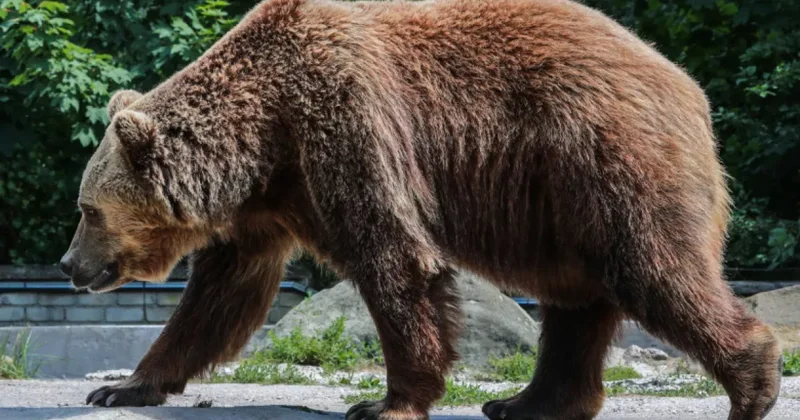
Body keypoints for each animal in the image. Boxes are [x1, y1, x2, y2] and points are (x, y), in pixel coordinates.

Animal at [58, 0, 782, 418]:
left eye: (87, 210)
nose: (68, 265)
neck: (262, 138)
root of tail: (688, 88)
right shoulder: (268, 202)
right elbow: (218, 298)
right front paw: (124, 385)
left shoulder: (347, 125)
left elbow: (395, 260)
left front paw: (386, 402)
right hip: (561, 205)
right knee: (575, 300)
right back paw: (525, 402)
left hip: (607, 160)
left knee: (654, 270)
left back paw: (753, 385)